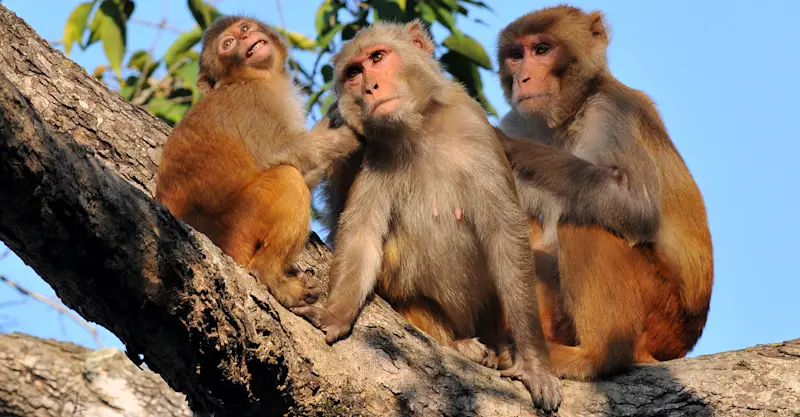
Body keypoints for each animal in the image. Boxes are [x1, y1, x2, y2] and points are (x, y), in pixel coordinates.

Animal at [155, 15, 359, 309]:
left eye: (243, 29)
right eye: (227, 44)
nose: (243, 39)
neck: (246, 78)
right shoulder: (256, 101)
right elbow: (289, 152)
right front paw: (352, 135)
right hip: (238, 229)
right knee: (287, 178)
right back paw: (273, 279)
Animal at [290, 20, 562, 412]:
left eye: (377, 58)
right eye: (354, 73)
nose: (370, 87)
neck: (417, 127)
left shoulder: (475, 127)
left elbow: (505, 238)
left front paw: (535, 364)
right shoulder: (378, 150)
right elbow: (362, 236)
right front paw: (335, 314)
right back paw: (457, 343)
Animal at [493, 5, 714, 380]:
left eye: (541, 49)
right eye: (515, 55)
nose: (522, 78)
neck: (567, 117)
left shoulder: (613, 111)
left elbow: (637, 210)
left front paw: (510, 147)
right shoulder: (520, 118)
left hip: (661, 316)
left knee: (583, 223)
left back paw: (596, 357)